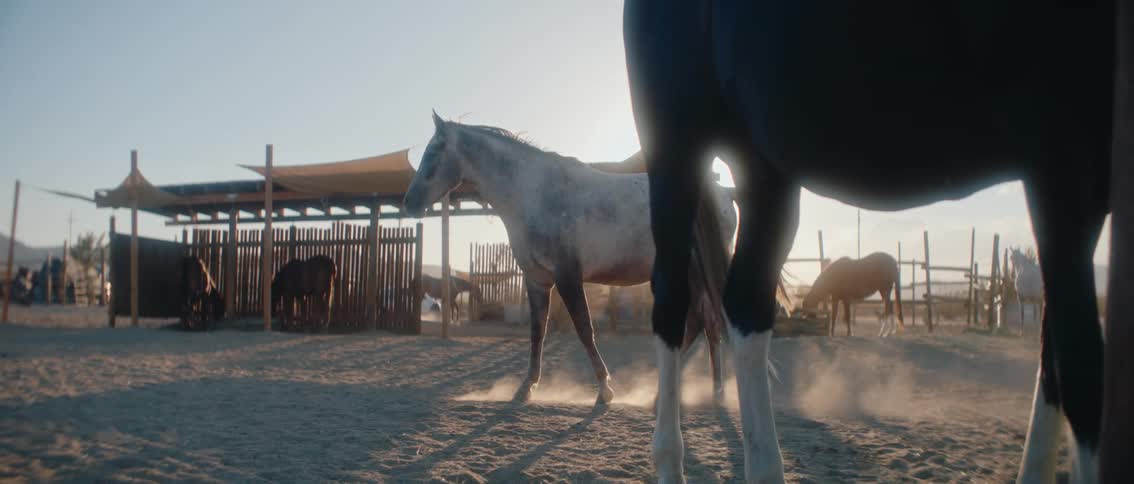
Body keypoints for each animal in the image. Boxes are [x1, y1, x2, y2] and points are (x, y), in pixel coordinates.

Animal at [403, 113, 779, 404]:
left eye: (434, 151)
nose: (409, 202)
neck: (534, 192)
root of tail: (723, 192)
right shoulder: (537, 281)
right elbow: (537, 333)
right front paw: (526, 389)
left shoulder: (569, 275)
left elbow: (584, 328)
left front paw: (605, 390)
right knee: (704, 325)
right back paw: (677, 393)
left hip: (699, 274)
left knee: (710, 325)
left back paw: (710, 393)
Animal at [624, 1, 1117, 481]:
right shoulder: (1059, 159)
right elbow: (1080, 368)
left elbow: (1054, 362)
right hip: (678, 154)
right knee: (673, 304)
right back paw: (669, 456)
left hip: (765, 168)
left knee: (745, 306)